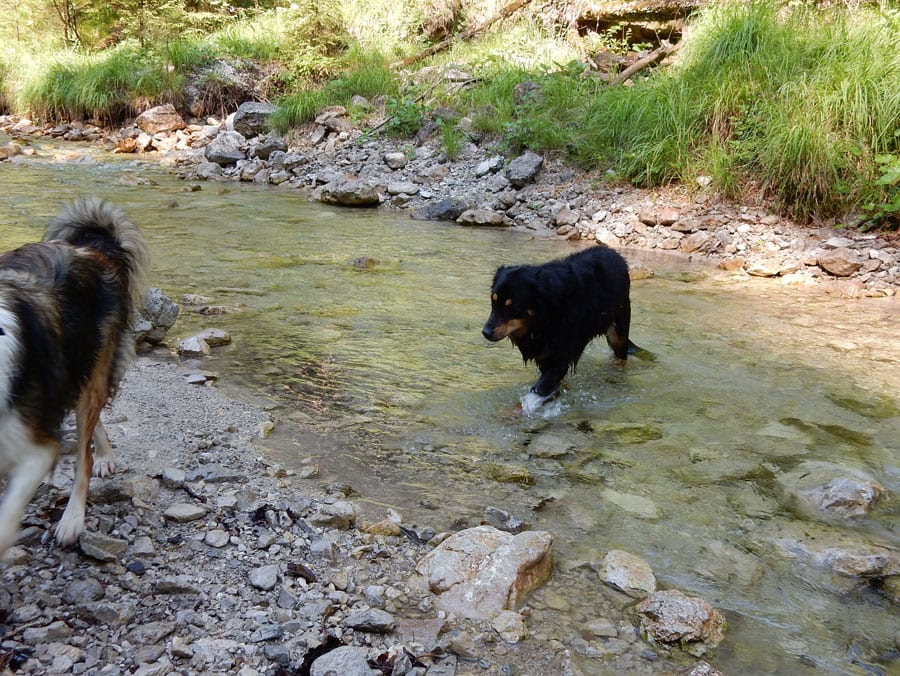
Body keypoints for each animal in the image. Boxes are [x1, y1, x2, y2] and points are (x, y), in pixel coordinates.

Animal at [482, 245, 638, 413]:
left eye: (512, 307)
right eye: (493, 302)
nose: (486, 332)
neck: (546, 314)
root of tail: (614, 253)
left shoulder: (557, 361)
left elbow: (533, 396)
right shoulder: (545, 357)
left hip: (618, 331)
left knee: (621, 357)